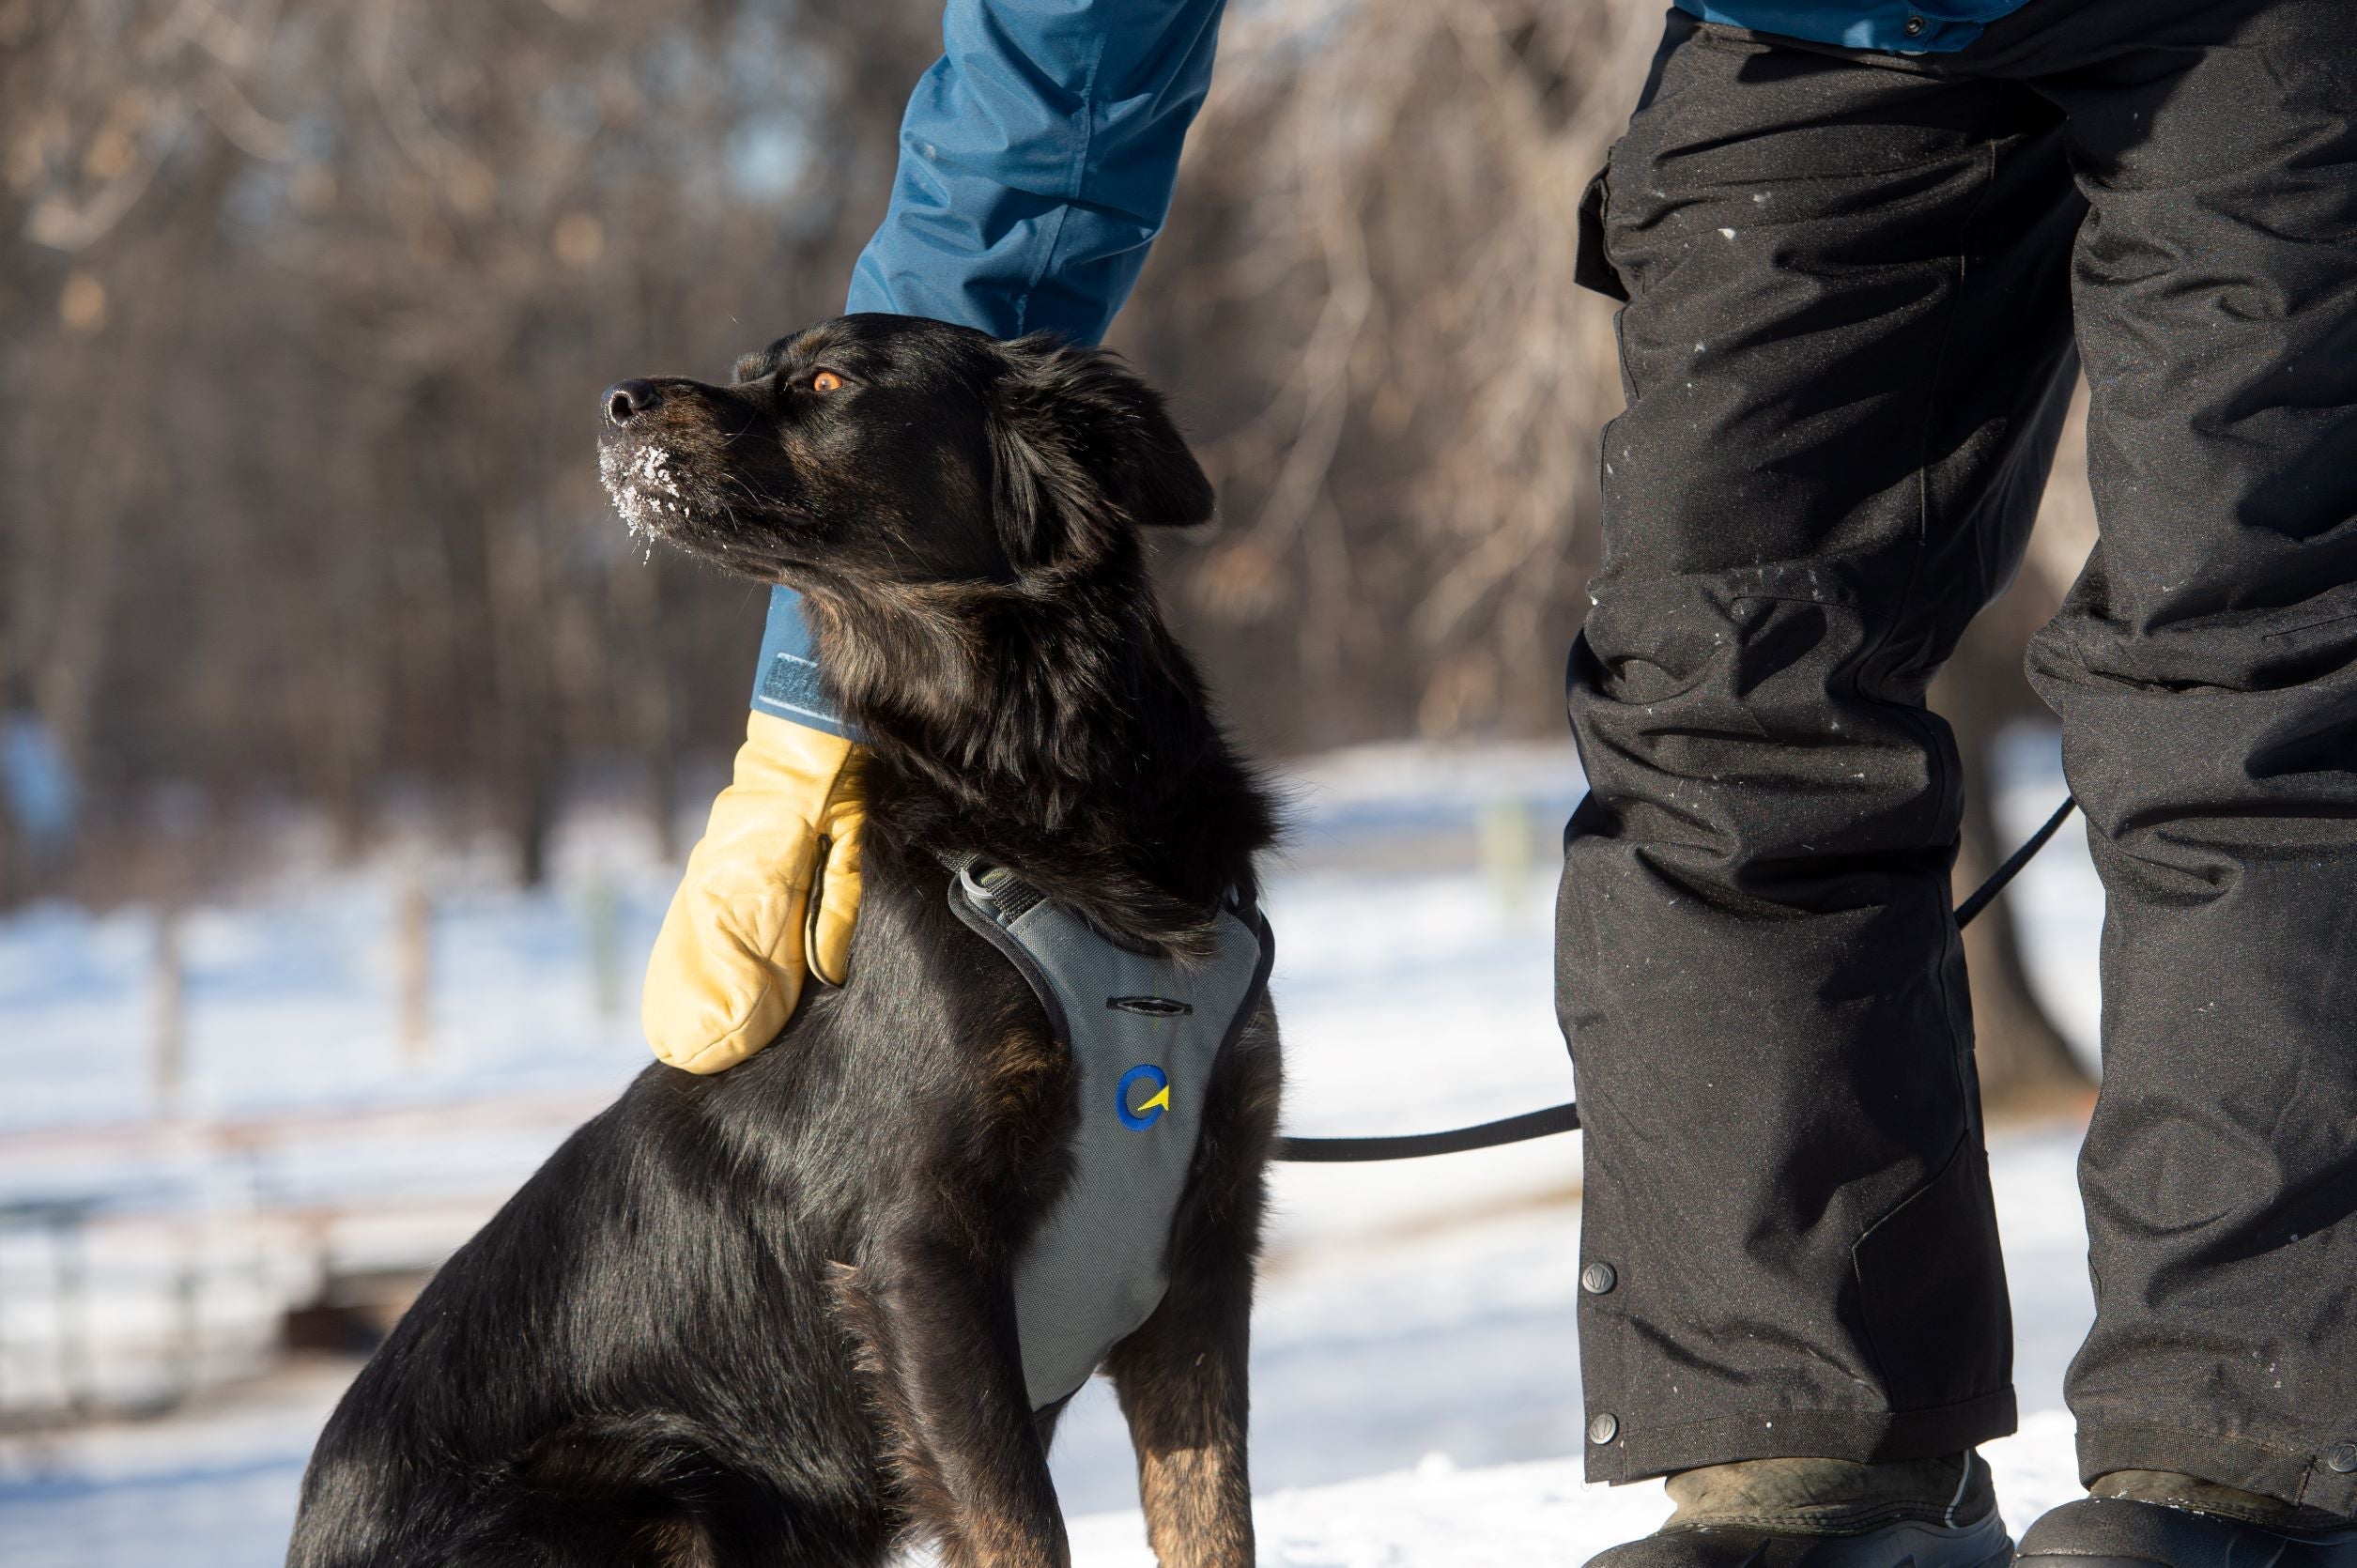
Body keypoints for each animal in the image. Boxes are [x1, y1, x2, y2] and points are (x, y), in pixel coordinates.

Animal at [299, 318, 1291, 1565]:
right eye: (752, 366)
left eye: (824, 381)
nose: (615, 400)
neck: (1033, 792)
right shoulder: (919, 1256)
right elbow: (1021, 1527)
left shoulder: (1200, 1252)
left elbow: (1215, 1524)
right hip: (660, 1493)